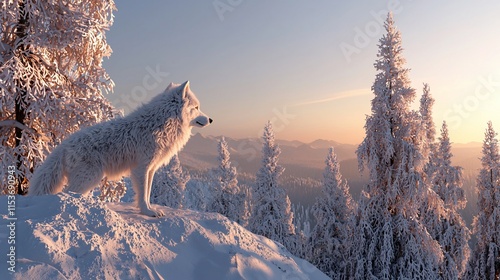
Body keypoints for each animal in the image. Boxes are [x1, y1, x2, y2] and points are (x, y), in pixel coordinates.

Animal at [27, 81, 211, 217]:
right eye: (196, 108)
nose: (210, 119)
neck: (161, 123)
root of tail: (63, 145)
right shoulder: (141, 169)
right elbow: (143, 194)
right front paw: (147, 212)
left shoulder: (151, 169)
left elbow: (148, 193)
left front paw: (150, 209)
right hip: (90, 177)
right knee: (67, 193)